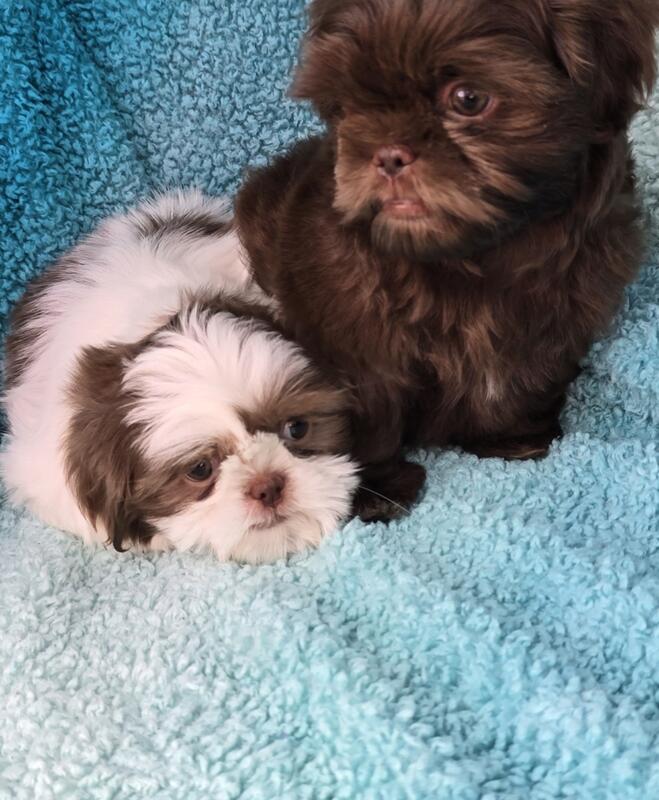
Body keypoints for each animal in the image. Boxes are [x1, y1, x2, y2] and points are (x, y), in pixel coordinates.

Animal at [235, 0, 659, 520]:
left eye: (468, 99)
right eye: (346, 108)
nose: (386, 153)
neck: (469, 257)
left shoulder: (560, 321)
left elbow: (531, 378)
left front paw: (512, 439)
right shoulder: (356, 344)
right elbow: (368, 412)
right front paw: (374, 490)